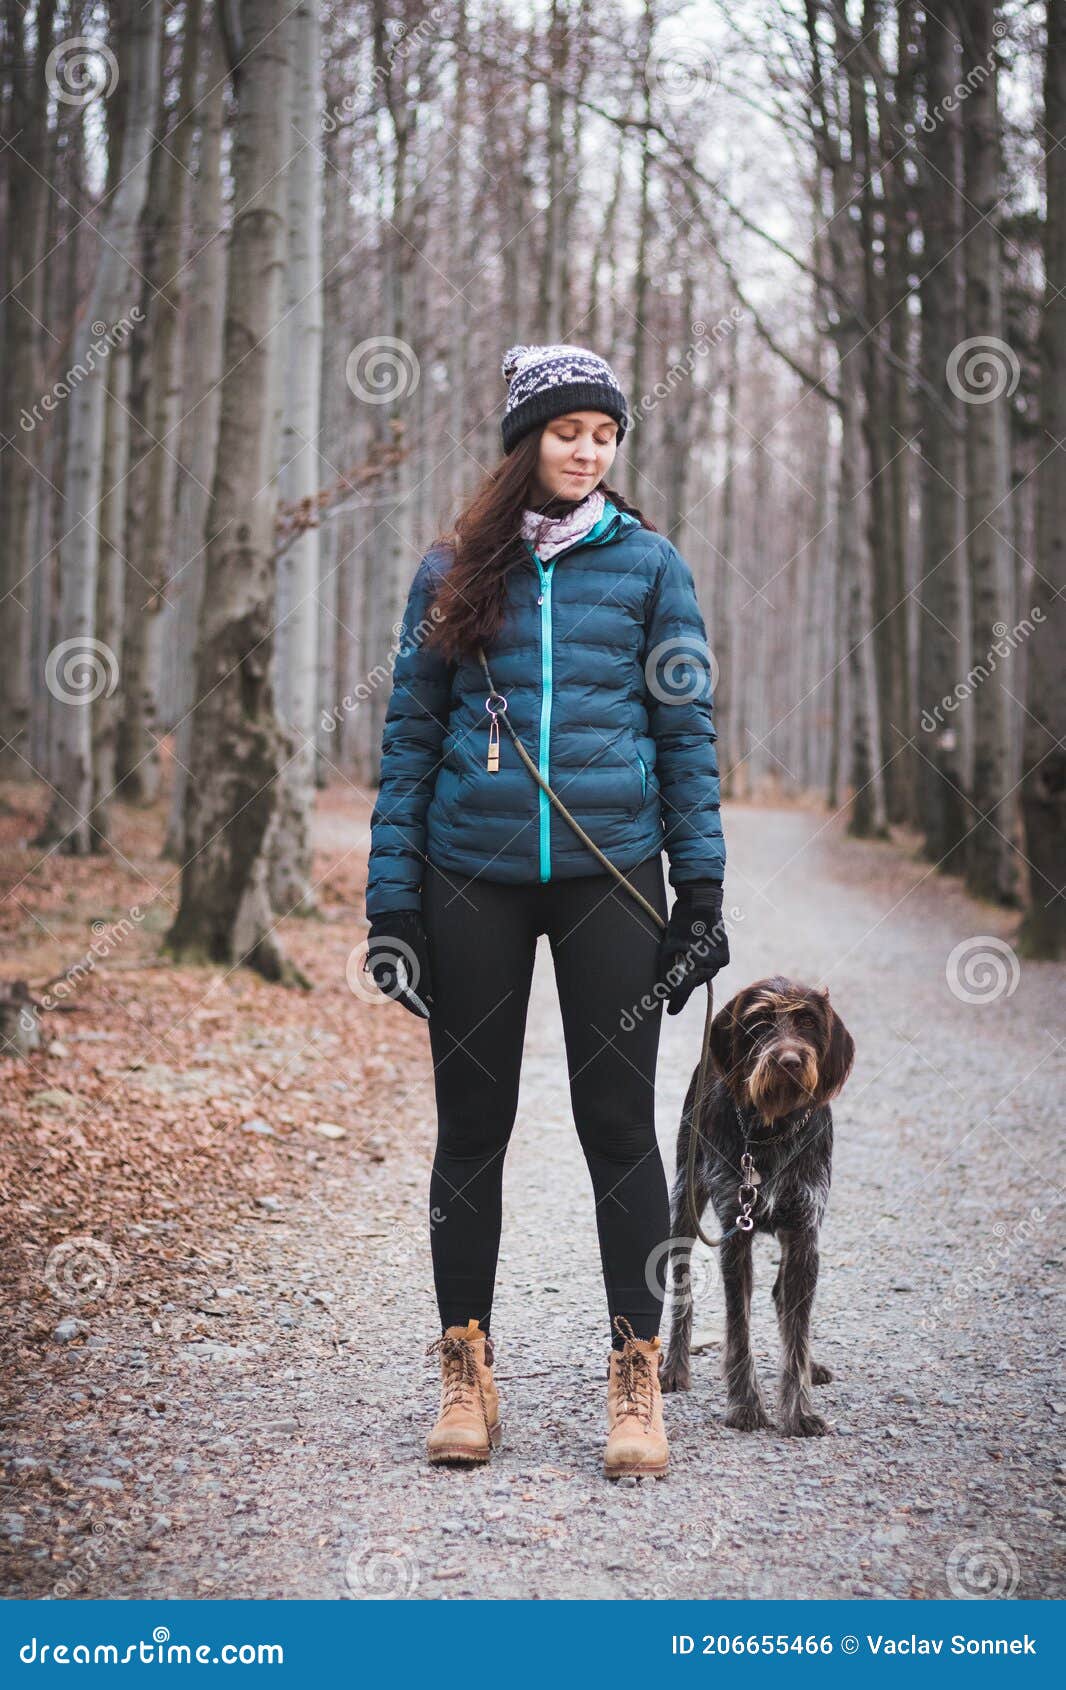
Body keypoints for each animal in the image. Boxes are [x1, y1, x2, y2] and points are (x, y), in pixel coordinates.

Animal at [658, 980, 858, 1439]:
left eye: (808, 1022)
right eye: (759, 1023)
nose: (789, 1060)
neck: (774, 1130)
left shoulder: (805, 1232)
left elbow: (797, 1330)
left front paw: (799, 1410)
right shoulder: (736, 1233)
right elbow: (740, 1325)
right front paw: (746, 1405)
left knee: (784, 1298)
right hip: (684, 1203)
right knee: (683, 1289)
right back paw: (675, 1367)